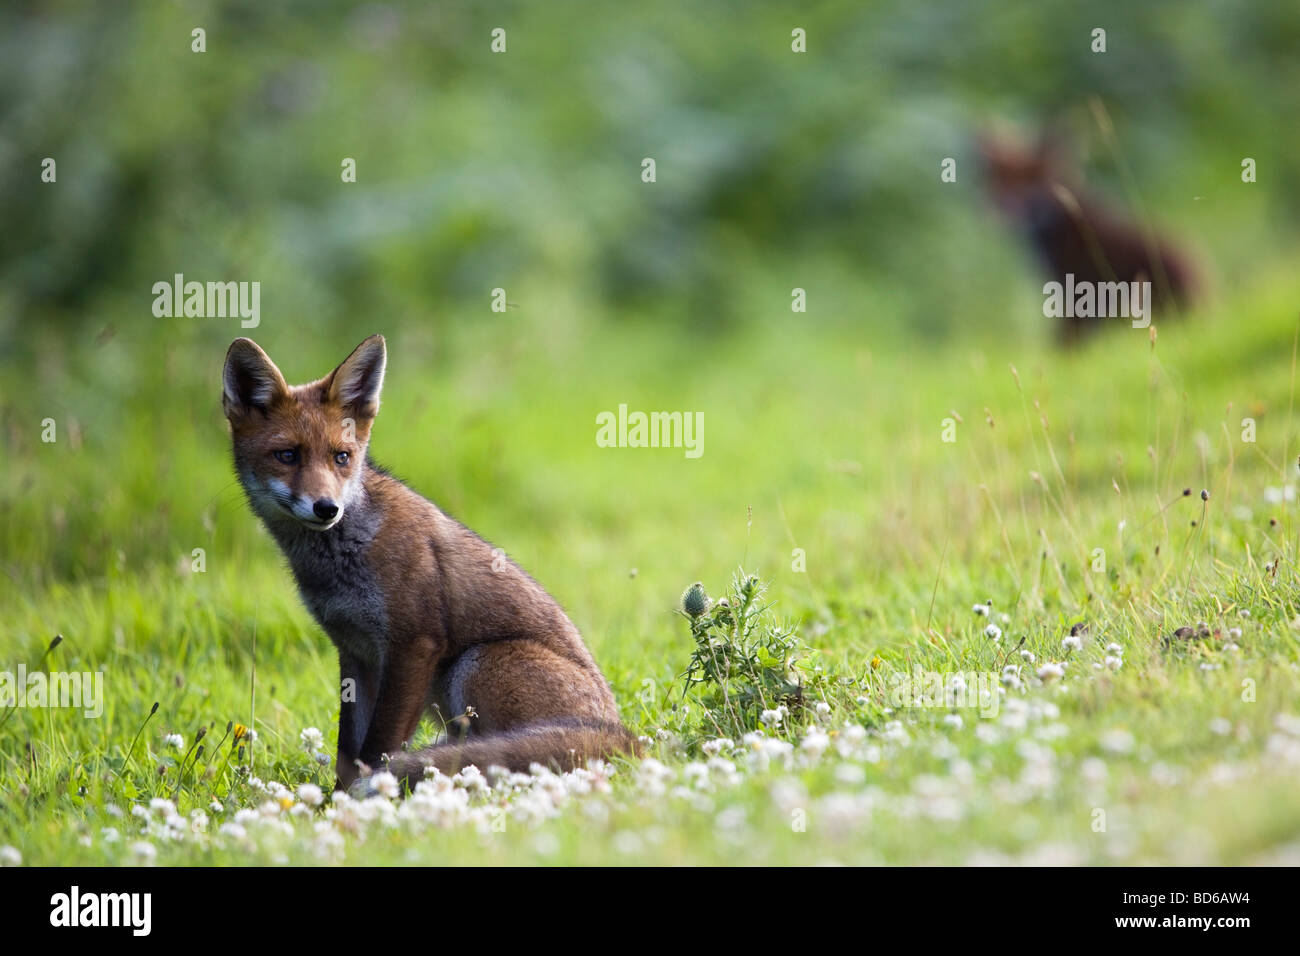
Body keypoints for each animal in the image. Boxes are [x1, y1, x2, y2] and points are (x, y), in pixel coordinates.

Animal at [221, 334, 637, 794]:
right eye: (288, 455)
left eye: (341, 457)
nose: (327, 508)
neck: (345, 559)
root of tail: (618, 732)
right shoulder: (355, 652)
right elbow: (348, 751)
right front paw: (334, 802)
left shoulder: (414, 644)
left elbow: (377, 748)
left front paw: (365, 796)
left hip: (475, 664)